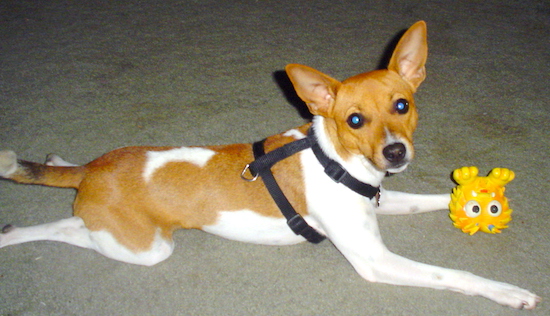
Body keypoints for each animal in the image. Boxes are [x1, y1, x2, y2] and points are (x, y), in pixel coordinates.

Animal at [0, 21, 544, 308]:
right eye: (354, 119)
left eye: (402, 105)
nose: (395, 152)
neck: (335, 160)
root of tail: (93, 172)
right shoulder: (376, 260)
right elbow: (454, 275)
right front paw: (508, 291)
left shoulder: (384, 198)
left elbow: (434, 199)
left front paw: (474, 202)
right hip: (145, 248)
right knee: (65, 228)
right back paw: (16, 230)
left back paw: (54, 164)